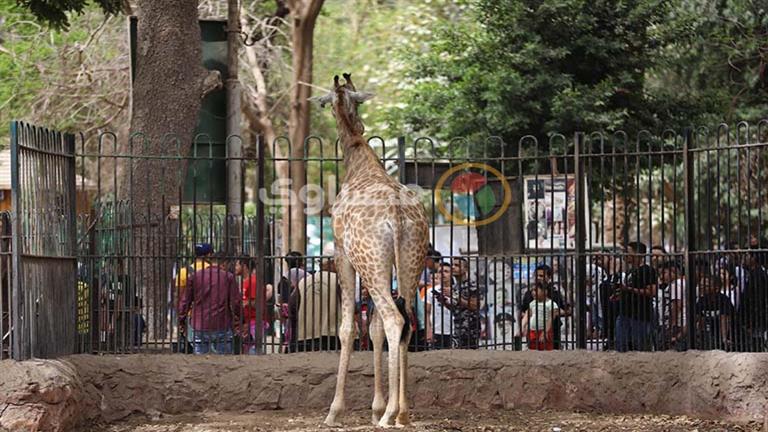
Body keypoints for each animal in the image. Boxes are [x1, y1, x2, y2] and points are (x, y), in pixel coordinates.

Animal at [312, 72, 432, 426]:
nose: (362, 125)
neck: (357, 157)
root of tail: (397, 213)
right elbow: (374, 328)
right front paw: (377, 404)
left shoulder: (342, 254)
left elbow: (348, 327)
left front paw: (335, 410)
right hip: (408, 260)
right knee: (407, 322)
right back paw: (401, 413)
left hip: (371, 262)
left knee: (394, 320)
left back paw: (390, 414)